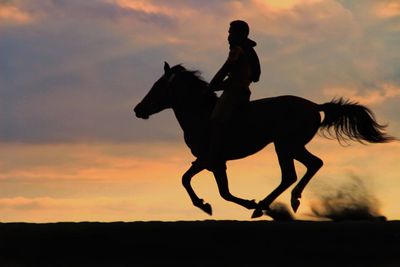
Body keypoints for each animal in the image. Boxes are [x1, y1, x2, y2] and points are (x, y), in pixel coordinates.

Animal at [134, 62, 394, 220]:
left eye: (157, 86)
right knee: (313, 164)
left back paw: (264, 207)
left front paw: (211, 205)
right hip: (293, 145)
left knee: (290, 174)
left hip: (285, 145)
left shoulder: (212, 159)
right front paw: (209, 204)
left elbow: (207, 187)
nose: (138, 109)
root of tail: (314, 106)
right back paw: (291, 200)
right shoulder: (210, 161)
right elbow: (201, 184)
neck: (201, 114)